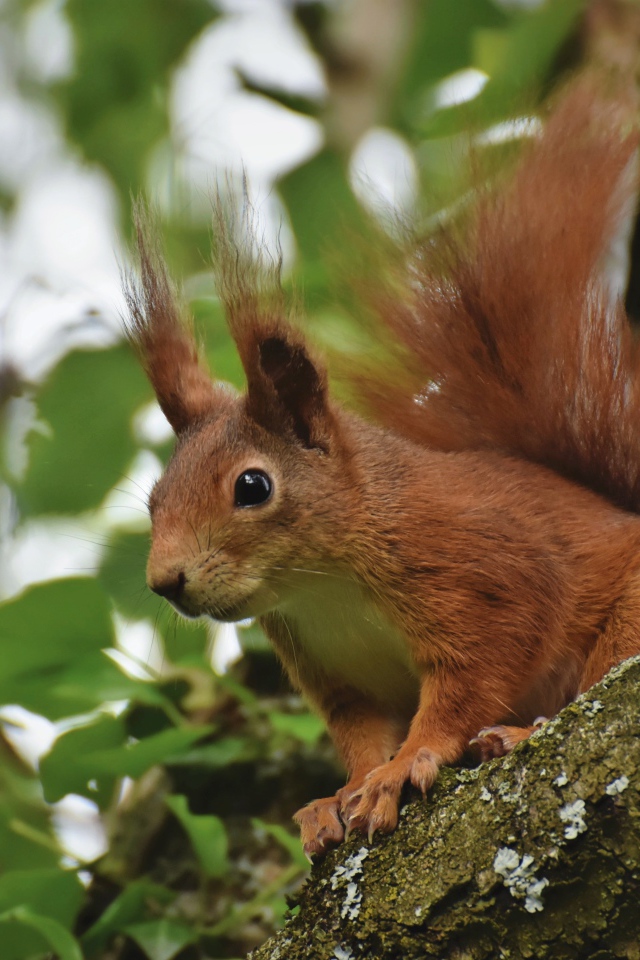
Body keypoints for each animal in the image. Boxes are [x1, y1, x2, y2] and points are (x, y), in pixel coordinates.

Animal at [125, 80, 640, 856]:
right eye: (154, 499)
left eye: (252, 486)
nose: (165, 582)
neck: (322, 585)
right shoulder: (337, 673)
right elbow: (359, 733)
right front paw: (338, 797)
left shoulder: (484, 578)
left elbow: (467, 685)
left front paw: (404, 766)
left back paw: (519, 733)